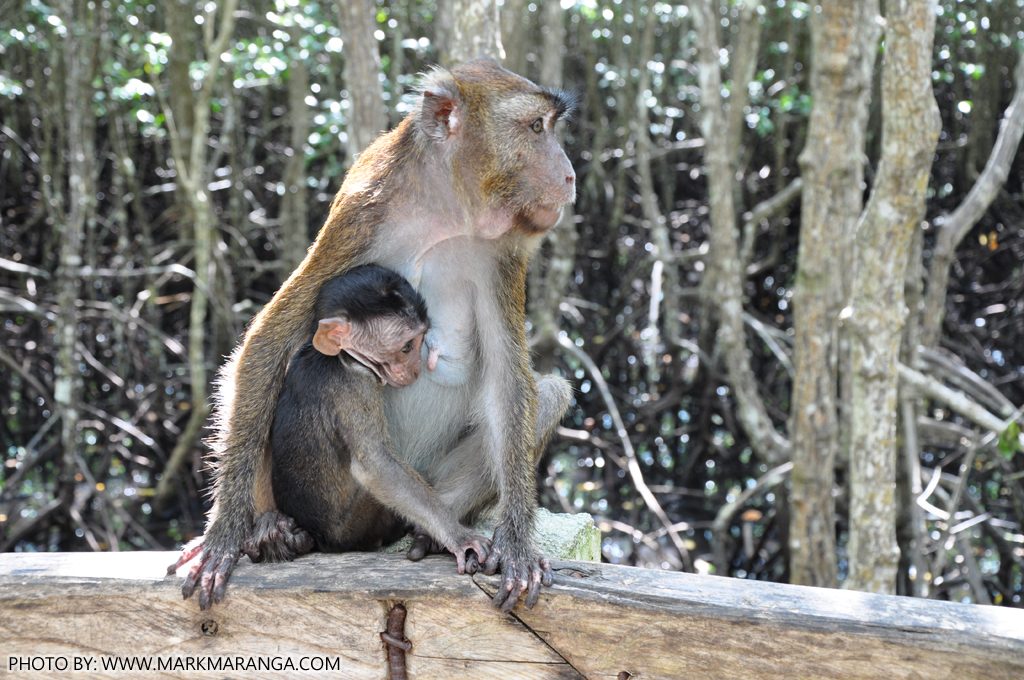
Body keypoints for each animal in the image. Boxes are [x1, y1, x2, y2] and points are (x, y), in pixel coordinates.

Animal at [240, 264, 490, 574]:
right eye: (407, 346)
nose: (417, 369)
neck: (339, 357)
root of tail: (321, 538)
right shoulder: (356, 385)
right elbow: (376, 464)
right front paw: (457, 536)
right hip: (357, 525)